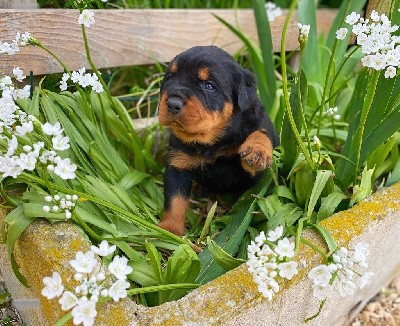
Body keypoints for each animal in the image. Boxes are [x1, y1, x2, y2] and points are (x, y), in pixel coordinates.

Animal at [159, 45, 278, 234]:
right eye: (170, 78)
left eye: (208, 85)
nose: (172, 103)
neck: (212, 141)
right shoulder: (177, 165)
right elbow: (174, 201)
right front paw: (169, 230)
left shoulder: (259, 177)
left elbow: (260, 132)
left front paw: (257, 150)